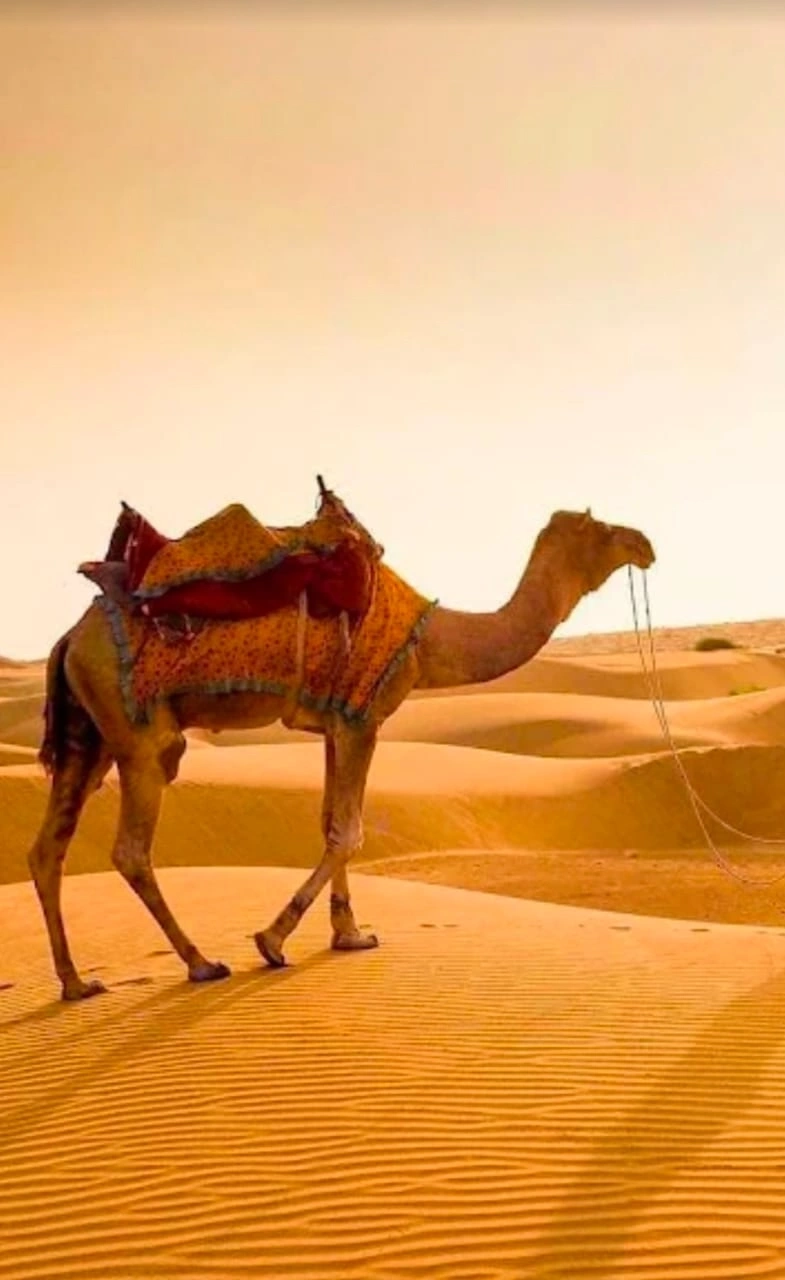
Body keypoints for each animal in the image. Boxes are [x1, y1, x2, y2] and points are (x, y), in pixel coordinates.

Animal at [28, 505, 654, 1000]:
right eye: (601, 528)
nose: (645, 544)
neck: (429, 640)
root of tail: (67, 639)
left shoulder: (335, 720)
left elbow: (331, 821)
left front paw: (348, 934)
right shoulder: (363, 716)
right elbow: (349, 831)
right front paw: (274, 940)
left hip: (89, 736)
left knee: (47, 848)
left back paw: (76, 982)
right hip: (139, 735)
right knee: (131, 849)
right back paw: (201, 963)